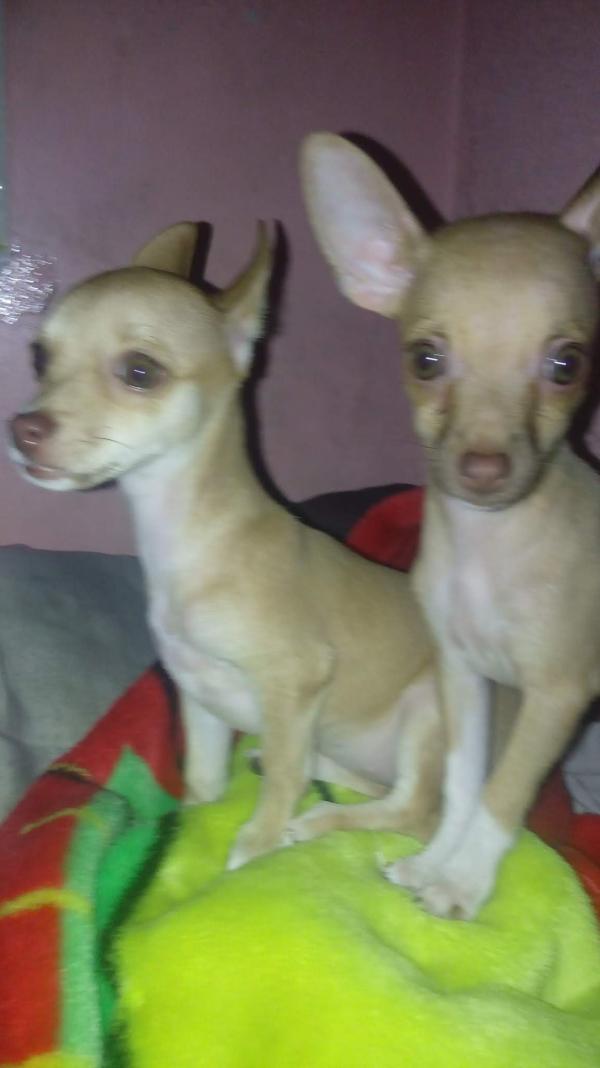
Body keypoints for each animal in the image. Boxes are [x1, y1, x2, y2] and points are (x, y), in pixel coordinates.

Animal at [8, 221, 452, 869]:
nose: (23, 430)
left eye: (140, 371)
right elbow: (205, 785)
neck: (187, 540)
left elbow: (285, 782)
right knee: (376, 788)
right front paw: (191, 823)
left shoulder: (294, 679)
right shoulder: (202, 700)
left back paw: (317, 821)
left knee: (415, 813)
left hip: (428, 710)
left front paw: (259, 841)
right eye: (40, 357)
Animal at [301, 132, 600, 918]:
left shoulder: (557, 693)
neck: (485, 549)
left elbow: (503, 793)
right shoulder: (463, 677)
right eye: (425, 359)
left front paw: (463, 881)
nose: (485, 467)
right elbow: (465, 786)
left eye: (567, 363)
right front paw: (439, 858)